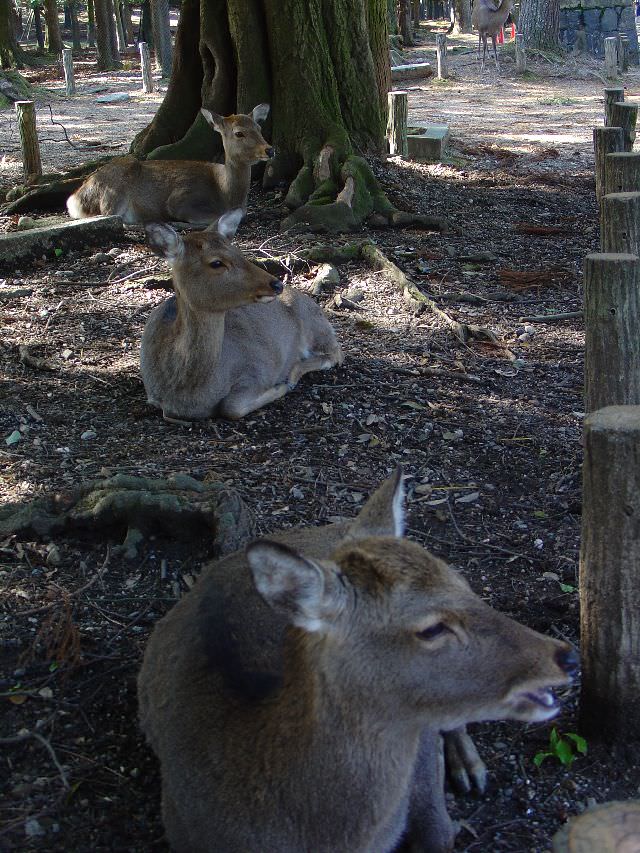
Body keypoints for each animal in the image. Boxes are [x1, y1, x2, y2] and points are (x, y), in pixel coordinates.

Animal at [67, 103, 272, 225]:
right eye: (239, 133)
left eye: (259, 128)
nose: (269, 150)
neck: (226, 194)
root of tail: (74, 198)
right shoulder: (181, 199)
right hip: (113, 192)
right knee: (113, 216)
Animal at [138, 207, 342, 420]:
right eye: (216, 262)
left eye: (238, 251)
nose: (276, 284)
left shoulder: (256, 371)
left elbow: (231, 407)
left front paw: (280, 387)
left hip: (314, 325)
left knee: (335, 353)